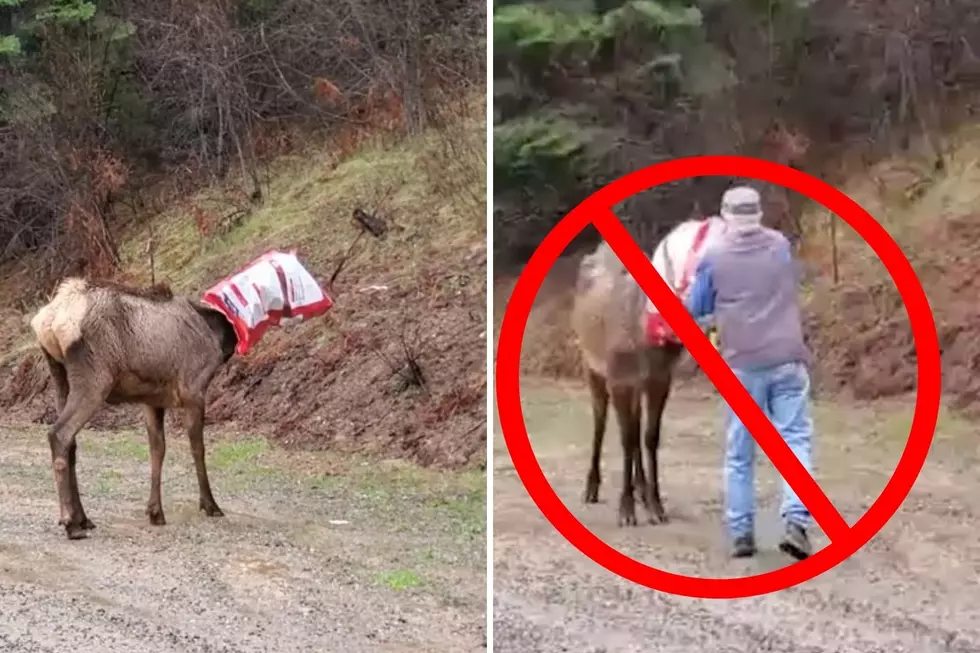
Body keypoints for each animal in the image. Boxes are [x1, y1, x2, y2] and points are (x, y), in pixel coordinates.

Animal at [29, 278, 237, 536]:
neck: (218, 334)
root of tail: (49, 321)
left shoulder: (152, 400)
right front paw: (210, 504)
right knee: (59, 434)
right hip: (95, 380)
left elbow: (157, 449)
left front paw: (155, 511)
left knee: (71, 442)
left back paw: (82, 518)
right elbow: (198, 448)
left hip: (59, 375)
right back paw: (71, 523)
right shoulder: (194, 390)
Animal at [572, 218, 724, 524]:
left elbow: (649, 437)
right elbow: (626, 438)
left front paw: (656, 506)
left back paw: (641, 491)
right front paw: (626, 511)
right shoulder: (618, 378)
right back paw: (592, 488)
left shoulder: (659, 379)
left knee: (635, 423)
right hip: (590, 364)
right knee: (600, 421)